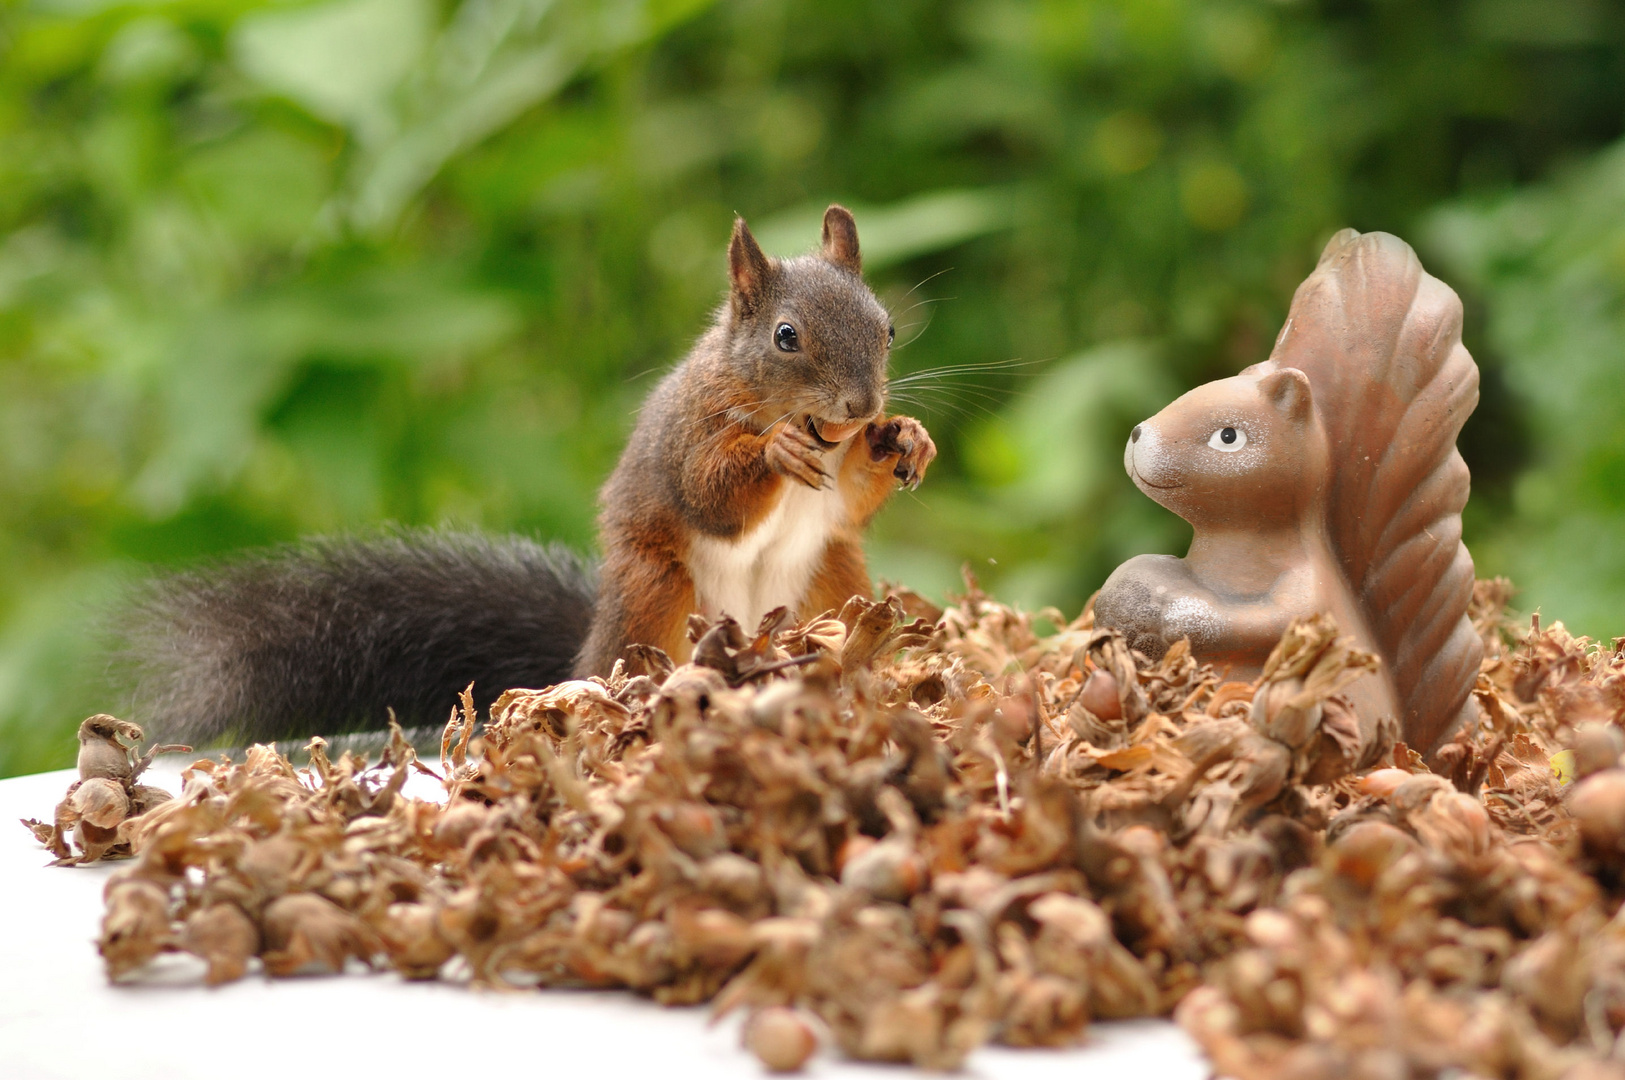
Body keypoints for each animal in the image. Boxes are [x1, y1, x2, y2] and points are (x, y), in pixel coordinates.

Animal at [123, 207, 942, 750]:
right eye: (785, 337)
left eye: (887, 328)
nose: (863, 405)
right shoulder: (689, 437)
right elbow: (711, 495)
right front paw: (776, 449)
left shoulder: (839, 496)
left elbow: (850, 500)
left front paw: (907, 438)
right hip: (656, 594)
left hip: (833, 580)